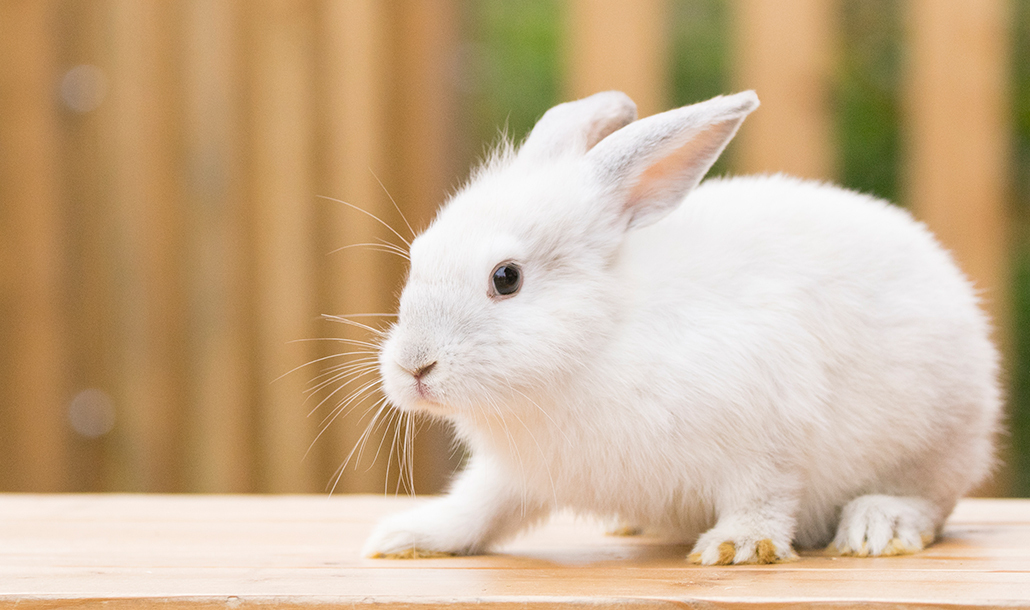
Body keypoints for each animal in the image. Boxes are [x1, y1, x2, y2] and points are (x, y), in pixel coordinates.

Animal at [360, 89, 997, 560]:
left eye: (507, 277)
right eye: (417, 257)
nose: (413, 366)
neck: (602, 340)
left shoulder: (768, 429)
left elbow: (762, 494)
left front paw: (739, 546)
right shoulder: (512, 474)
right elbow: (480, 507)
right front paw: (407, 537)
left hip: (936, 441)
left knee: (930, 502)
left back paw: (876, 526)